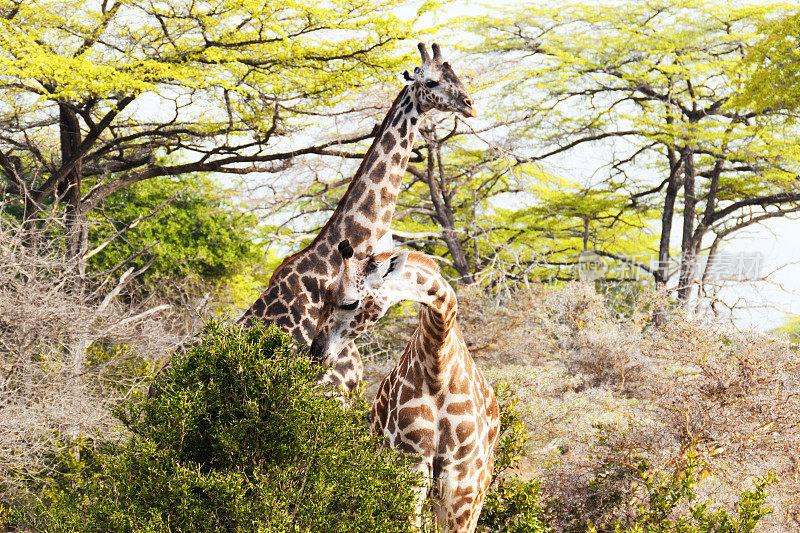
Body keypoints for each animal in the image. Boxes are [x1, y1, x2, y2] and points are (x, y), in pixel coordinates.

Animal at [310, 241, 496, 532]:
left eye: (351, 303)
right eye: (325, 294)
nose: (317, 352)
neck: (438, 367)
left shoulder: (462, 481)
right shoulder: (408, 464)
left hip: (476, 488)